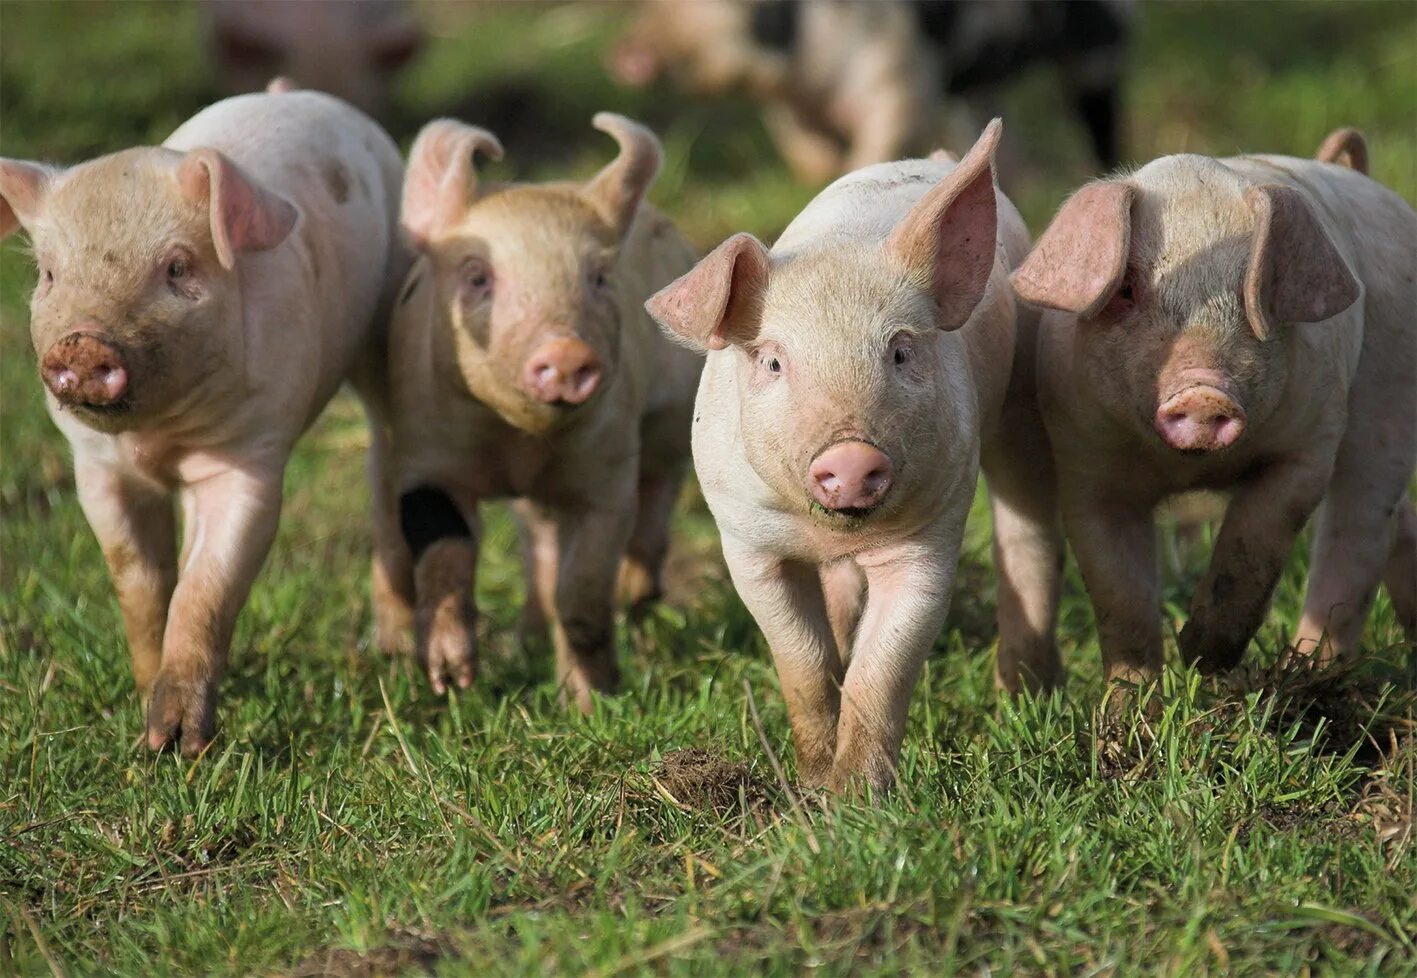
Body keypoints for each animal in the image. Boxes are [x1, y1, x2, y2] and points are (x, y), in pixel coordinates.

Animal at [614, 0, 1133, 181]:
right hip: (979, 85)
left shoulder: (902, 78)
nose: (625, 53)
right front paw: (817, 181)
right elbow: (805, 150)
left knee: (1098, 103)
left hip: (1099, 40)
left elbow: (884, 139)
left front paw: (853, 170)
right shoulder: (795, 112)